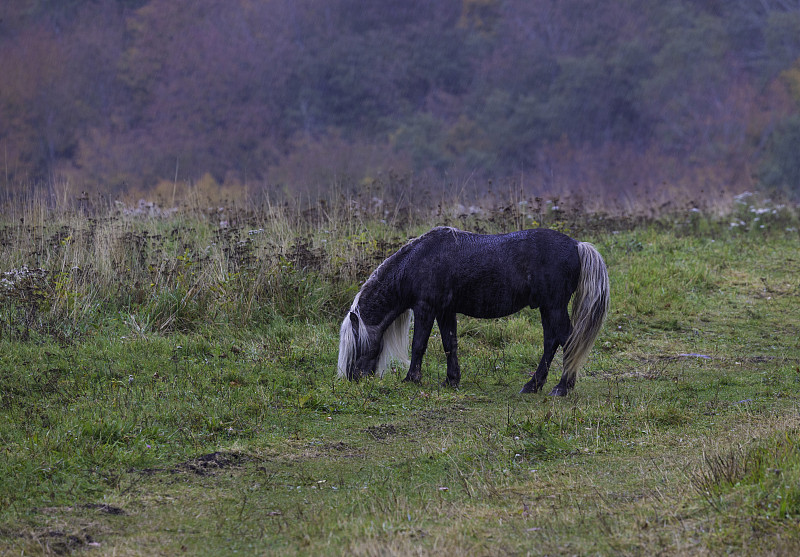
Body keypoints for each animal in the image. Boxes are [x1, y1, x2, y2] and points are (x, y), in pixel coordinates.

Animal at [336, 226, 608, 396]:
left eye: (356, 343)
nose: (352, 378)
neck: (418, 260)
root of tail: (578, 245)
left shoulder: (425, 308)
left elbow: (419, 345)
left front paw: (412, 378)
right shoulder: (445, 311)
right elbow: (450, 344)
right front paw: (451, 380)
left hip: (554, 306)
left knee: (567, 340)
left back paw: (562, 387)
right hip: (547, 308)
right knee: (551, 342)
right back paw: (533, 385)